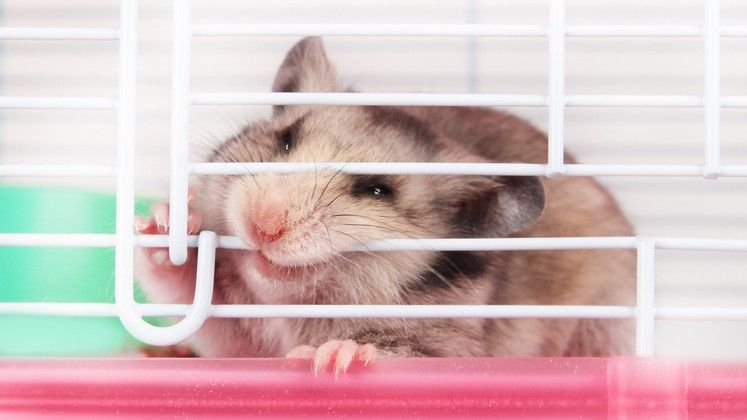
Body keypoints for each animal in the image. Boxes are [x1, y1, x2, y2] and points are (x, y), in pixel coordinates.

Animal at [133, 38, 632, 374]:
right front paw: (165, 222)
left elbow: (401, 352)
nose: (263, 226)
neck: (297, 307)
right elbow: (192, 298)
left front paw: (334, 358)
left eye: (376, 191)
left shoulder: (448, 346)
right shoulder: (236, 335)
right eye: (286, 139)